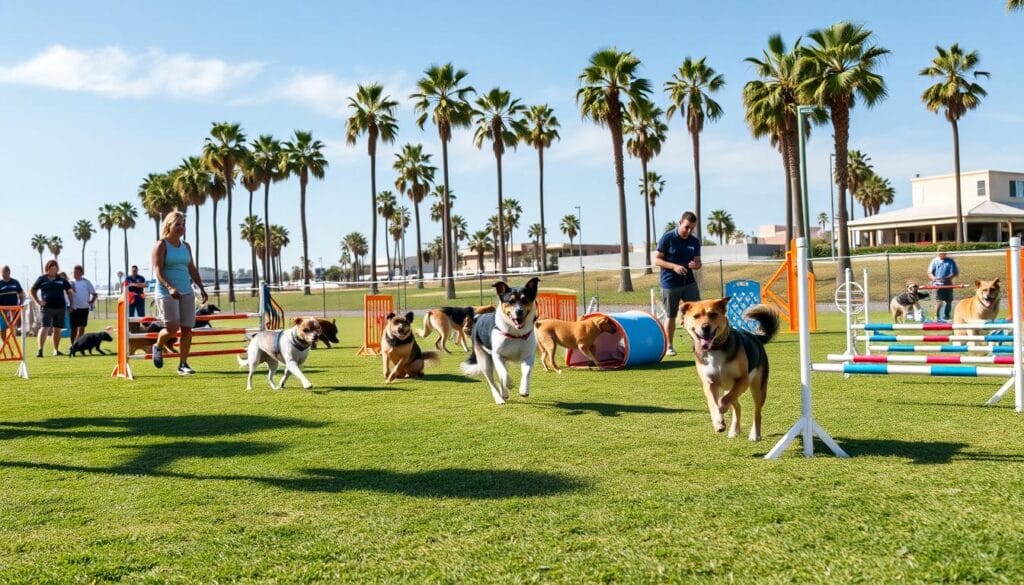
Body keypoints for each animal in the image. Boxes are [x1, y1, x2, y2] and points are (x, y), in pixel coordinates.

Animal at [464, 276, 544, 405]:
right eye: (510, 301)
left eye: (525, 300)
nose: (519, 311)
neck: (515, 333)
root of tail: (478, 318)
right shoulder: (497, 356)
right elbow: (504, 375)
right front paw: (510, 384)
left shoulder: (528, 356)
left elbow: (526, 372)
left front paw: (524, 390)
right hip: (485, 360)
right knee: (491, 381)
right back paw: (499, 398)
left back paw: (504, 394)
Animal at [675, 299, 778, 442]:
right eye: (696, 316)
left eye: (713, 314)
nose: (705, 327)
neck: (715, 349)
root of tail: (755, 337)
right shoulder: (709, 383)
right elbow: (713, 404)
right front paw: (718, 422)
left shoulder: (742, 380)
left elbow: (723, 400)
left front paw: (722, 408)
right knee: (737, 405)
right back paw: (734, 430)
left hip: (758, 387)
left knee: (756, 411)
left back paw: (754, 434)